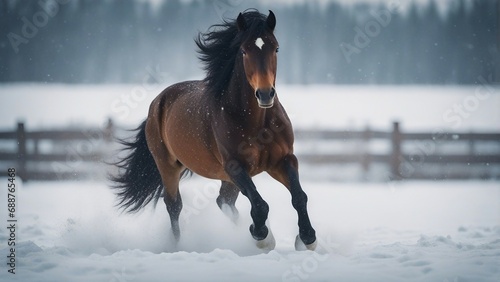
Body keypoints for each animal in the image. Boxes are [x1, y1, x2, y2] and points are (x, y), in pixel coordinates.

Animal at [113, 9, 316, 251]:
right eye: (244, 50)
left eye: (275, 48)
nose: (265, 94)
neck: (257, 123)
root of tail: (157, 103)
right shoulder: (235, 166)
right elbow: (259, 204)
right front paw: (263, 237)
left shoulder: (282, 160)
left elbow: (299, 196)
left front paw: (307, 239)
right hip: (168, 166)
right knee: (174, 205)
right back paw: (177, 246)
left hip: (226, 178)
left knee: (223, 202)